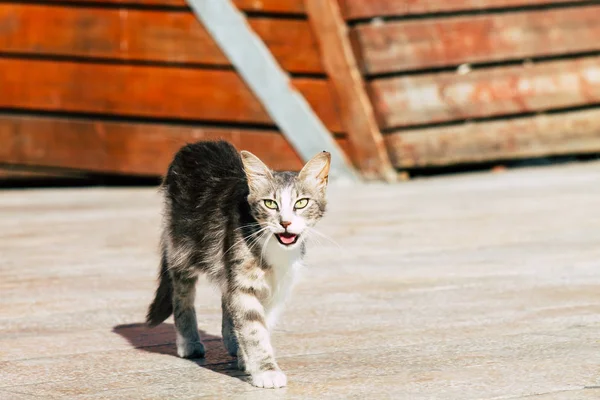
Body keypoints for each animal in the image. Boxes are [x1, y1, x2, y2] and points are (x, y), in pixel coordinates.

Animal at [147, 141, 330, 388]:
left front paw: (247, 359)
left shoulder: (276, 287)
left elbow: (260, 324)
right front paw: (266, 371)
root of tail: (195, 144)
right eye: (270, 204)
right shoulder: (243, 283)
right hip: (181, 249)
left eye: (301, 203)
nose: (285, 223)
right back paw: (189, 342)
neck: (273, 246)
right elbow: (254, 330)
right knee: (182, 297)